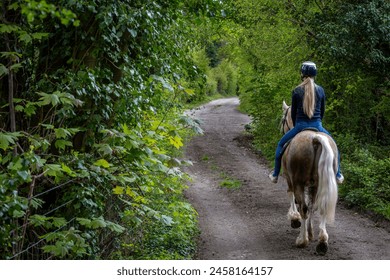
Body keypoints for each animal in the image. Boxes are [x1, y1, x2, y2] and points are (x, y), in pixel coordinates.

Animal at [280, 100, 338, 256]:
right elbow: (312, 205)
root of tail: (315, 139)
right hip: (319, 183)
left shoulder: (290, 179)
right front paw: (311, 233)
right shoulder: (312, 185)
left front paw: (294, 218)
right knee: (319, 206)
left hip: (298, 182)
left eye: (282, 119)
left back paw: (302, 240)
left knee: (304, 208)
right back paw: (322, 242)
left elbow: (292, 196)